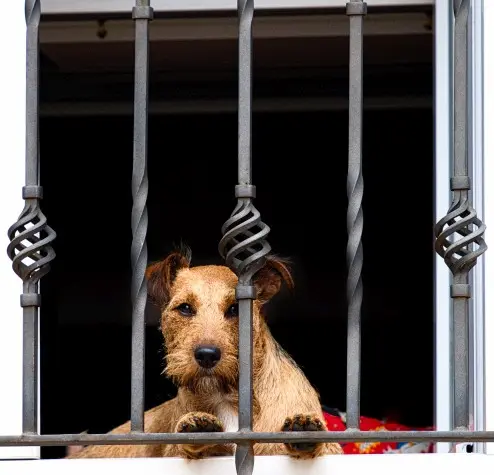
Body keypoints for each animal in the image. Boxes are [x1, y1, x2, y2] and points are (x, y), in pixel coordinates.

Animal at [67, 249, 342, 462]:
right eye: (185, 308)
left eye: (235, 309)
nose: (207, 355)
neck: (227, 398)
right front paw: (198, 427)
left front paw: (302, 428)